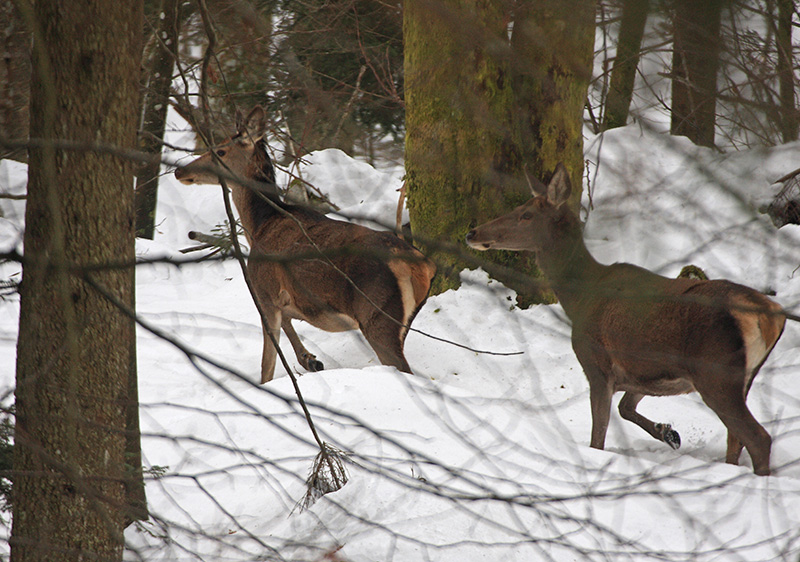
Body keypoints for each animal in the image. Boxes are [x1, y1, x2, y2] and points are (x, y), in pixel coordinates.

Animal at [176, 105, 438, 382]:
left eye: (220, 150)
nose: (179, 170)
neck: (260, 226)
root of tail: (422, 266)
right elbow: (289, 322)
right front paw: (310, 359)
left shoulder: (263, 289)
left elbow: (268, 363)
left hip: (377, 315)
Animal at [466, 162, 784, 472]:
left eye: (526, 214)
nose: (473, 233)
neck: (580, 298)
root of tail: (770, 317)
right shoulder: (642, 370)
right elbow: (626, 408)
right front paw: (668, 432)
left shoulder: (596, 362)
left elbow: (599, 436)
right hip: (745, 376)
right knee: (736, 440)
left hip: (715, 371)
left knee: (758, 438)